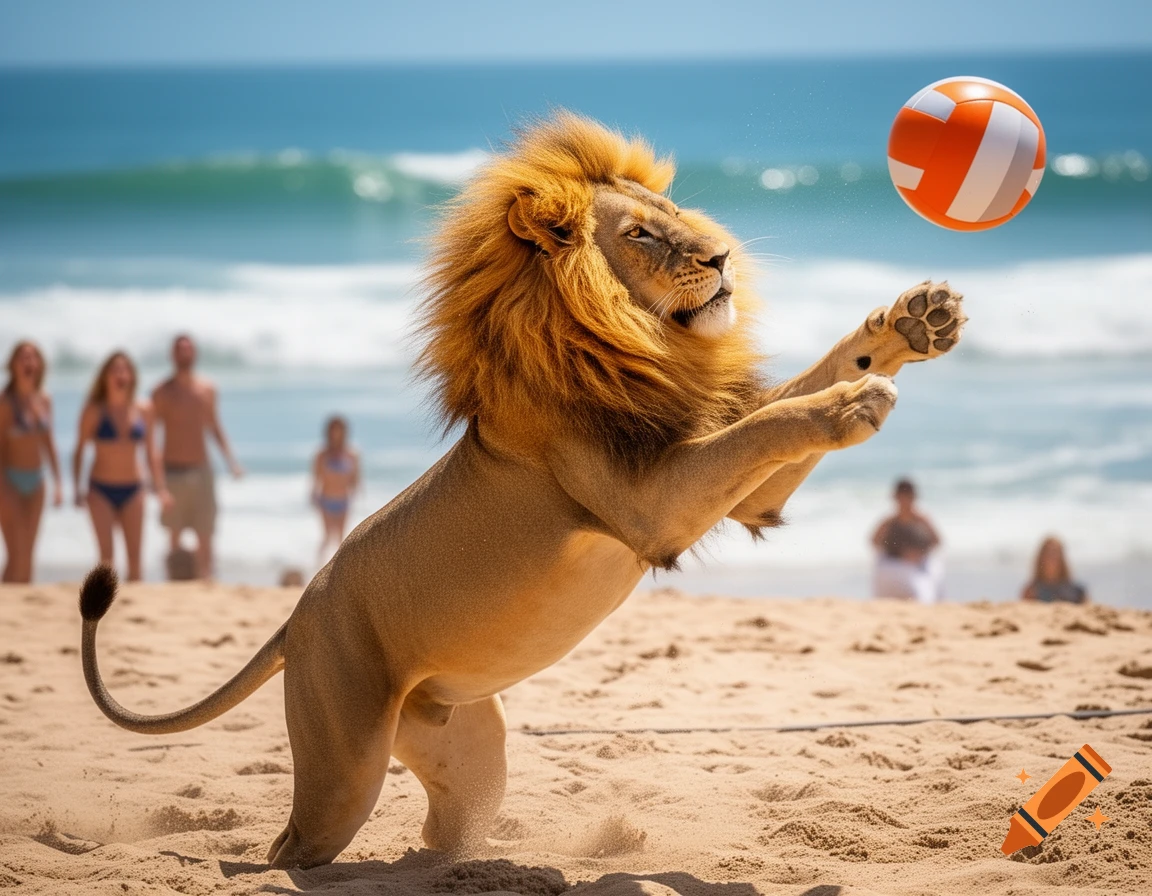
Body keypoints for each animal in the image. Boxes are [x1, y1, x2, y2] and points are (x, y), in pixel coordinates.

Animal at [78, 112, 966, 869]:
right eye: (641, 233)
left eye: (674, 209)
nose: (722, 259)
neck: (639, 345)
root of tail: (297, 617)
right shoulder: (653, 503)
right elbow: (771, 420)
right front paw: (851, 403)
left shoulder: (736, 495)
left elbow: (790, 396)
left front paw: (911, 325)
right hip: (343, 763)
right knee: (291, 846)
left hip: (470, 753)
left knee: (443, 832)